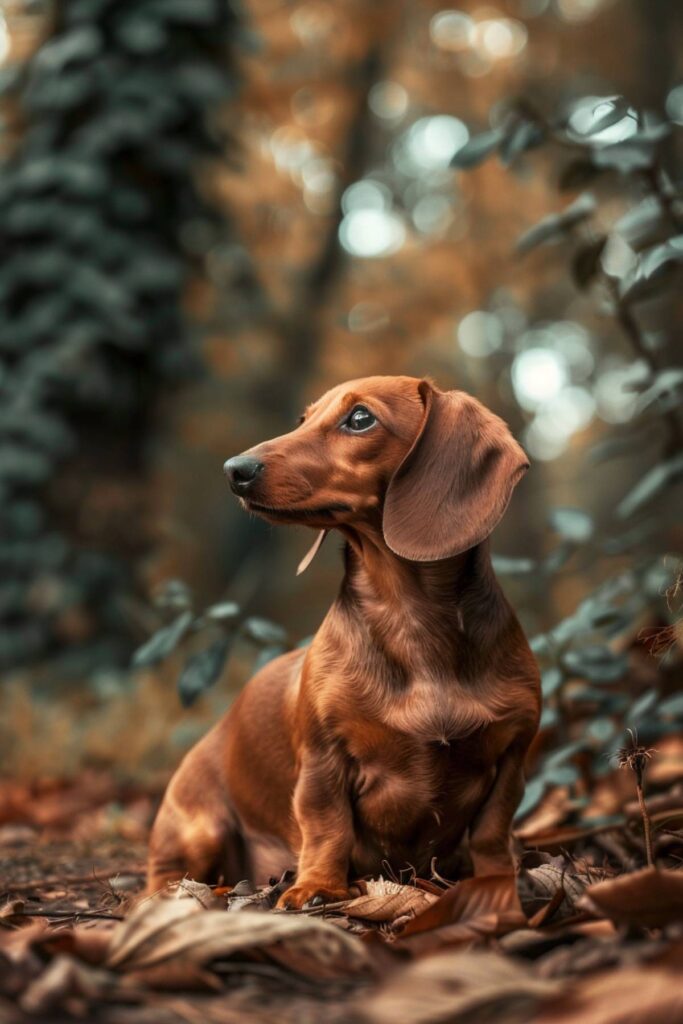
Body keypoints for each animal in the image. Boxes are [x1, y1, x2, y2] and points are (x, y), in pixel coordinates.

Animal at [148, 380, 540, 909]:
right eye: (303, 418)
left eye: (360, 419)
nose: (235, 470)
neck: (411, 621)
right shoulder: (323, 758)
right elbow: (327, 823)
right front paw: (318, 886)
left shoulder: (513, 754)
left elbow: (492, 831)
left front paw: (500, 882)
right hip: (197, 829)